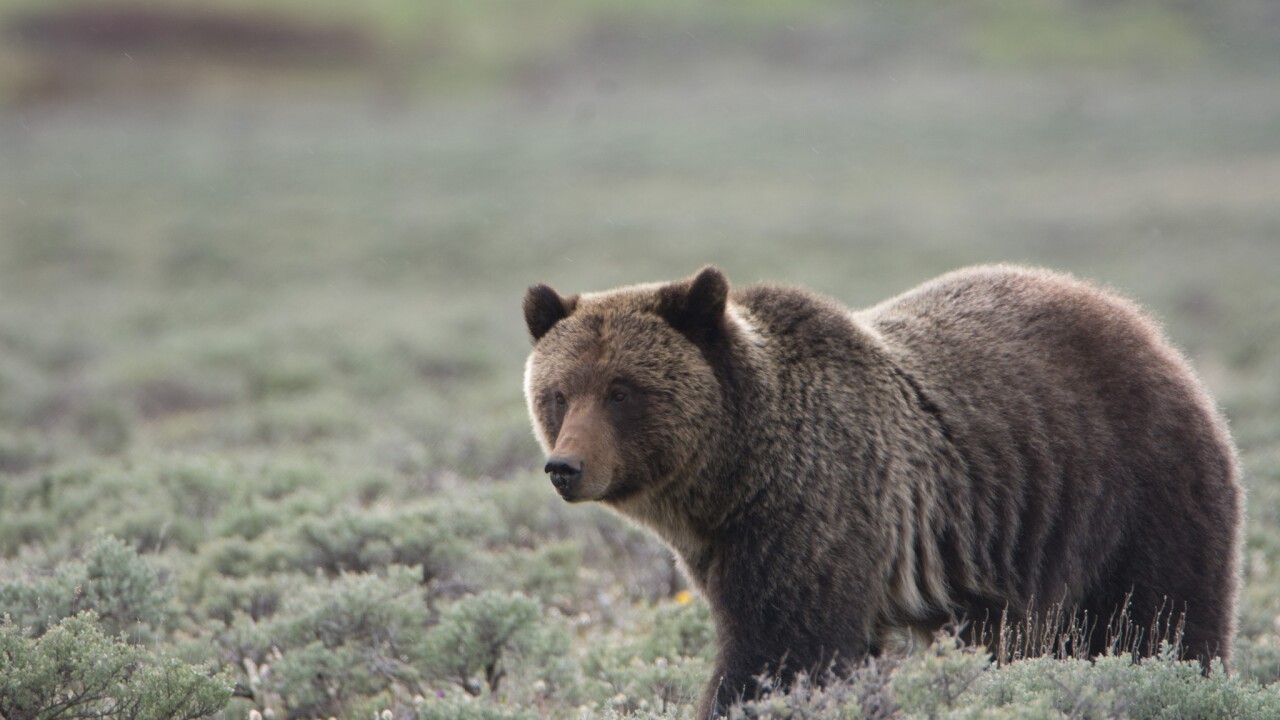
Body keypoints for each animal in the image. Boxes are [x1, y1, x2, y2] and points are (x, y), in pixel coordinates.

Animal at [521, 264, 1241, 718]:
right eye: (558, 393)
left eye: (622, 391)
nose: (565, 467)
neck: (732, 475)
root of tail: (1146, 328)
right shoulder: (726, 545)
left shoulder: (817, 509)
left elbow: (780, 652)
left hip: (1136, 486)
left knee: (1160, 618)